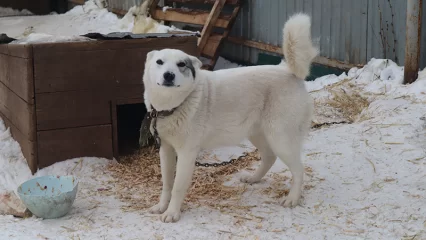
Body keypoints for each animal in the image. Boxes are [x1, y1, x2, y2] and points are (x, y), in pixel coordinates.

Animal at [141, 12, 318, 223]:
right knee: (269, 157)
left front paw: (172, 213)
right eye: (159, 62)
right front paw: (161, 207)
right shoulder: (166, 150)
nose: (168, 75)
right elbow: (167, 184)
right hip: (259, 134)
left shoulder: (186, 154)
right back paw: (254, 179)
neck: (173, 106)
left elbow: (177, 187)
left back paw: (293, 198)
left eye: (181, 65)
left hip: (280, 139)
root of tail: (289, 71)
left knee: (299, 170)